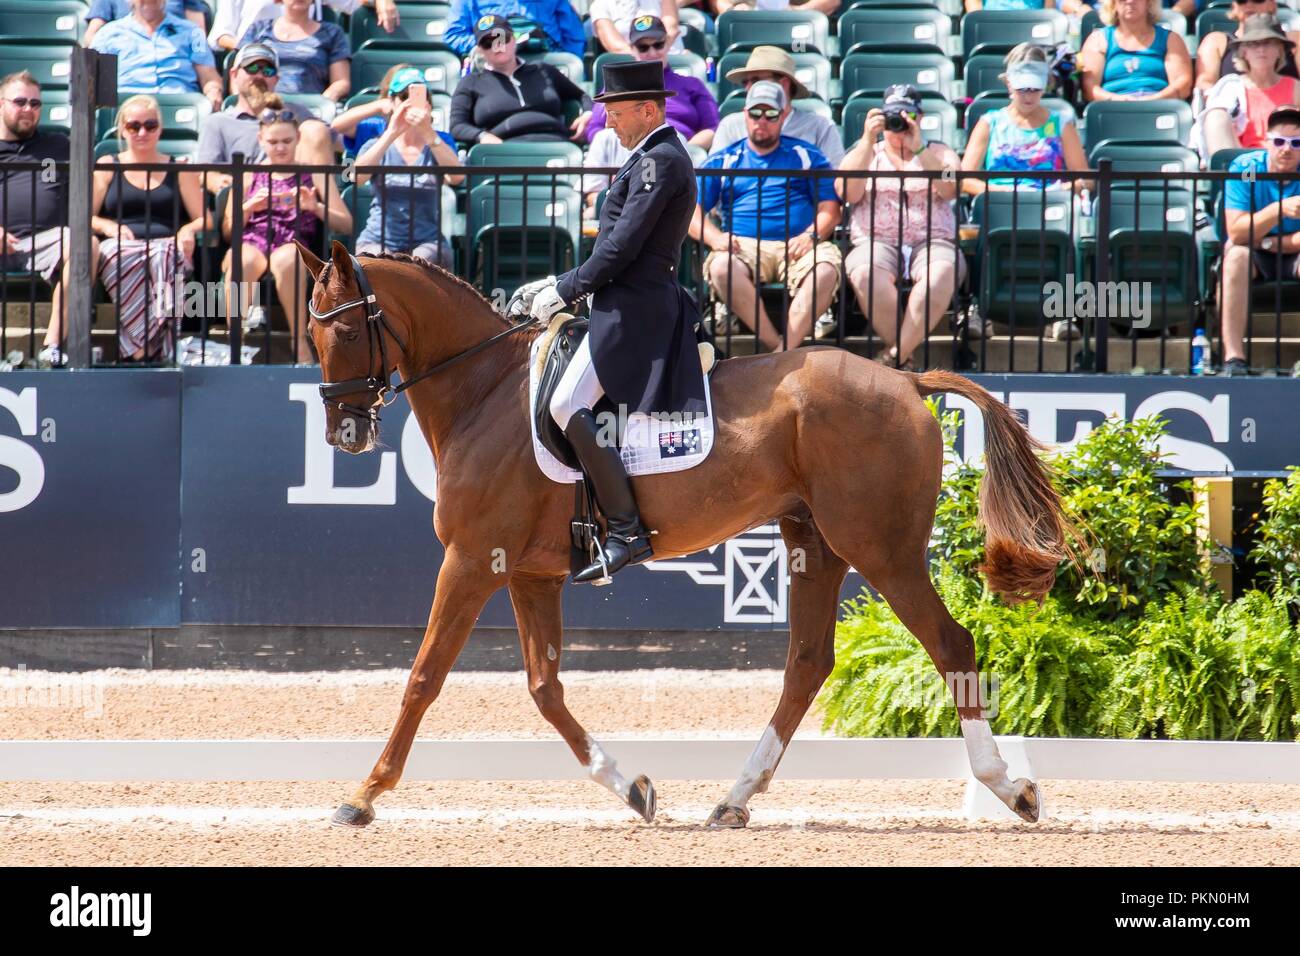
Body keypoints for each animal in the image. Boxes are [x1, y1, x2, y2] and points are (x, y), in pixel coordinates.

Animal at [299, 240, 1071, 832]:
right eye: (312, 337)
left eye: (346, 333)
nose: (346, 434)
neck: (482, 391)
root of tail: (908, 381)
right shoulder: (528, 572)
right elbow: (545, 688)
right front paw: (634, 789)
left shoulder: (470, 562)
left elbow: (423, 677)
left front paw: (362, 796)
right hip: (813, 542)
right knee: (807, 664)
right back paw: (734, 800)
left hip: (880, 549)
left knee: (950, 645)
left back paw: (1009, 788)